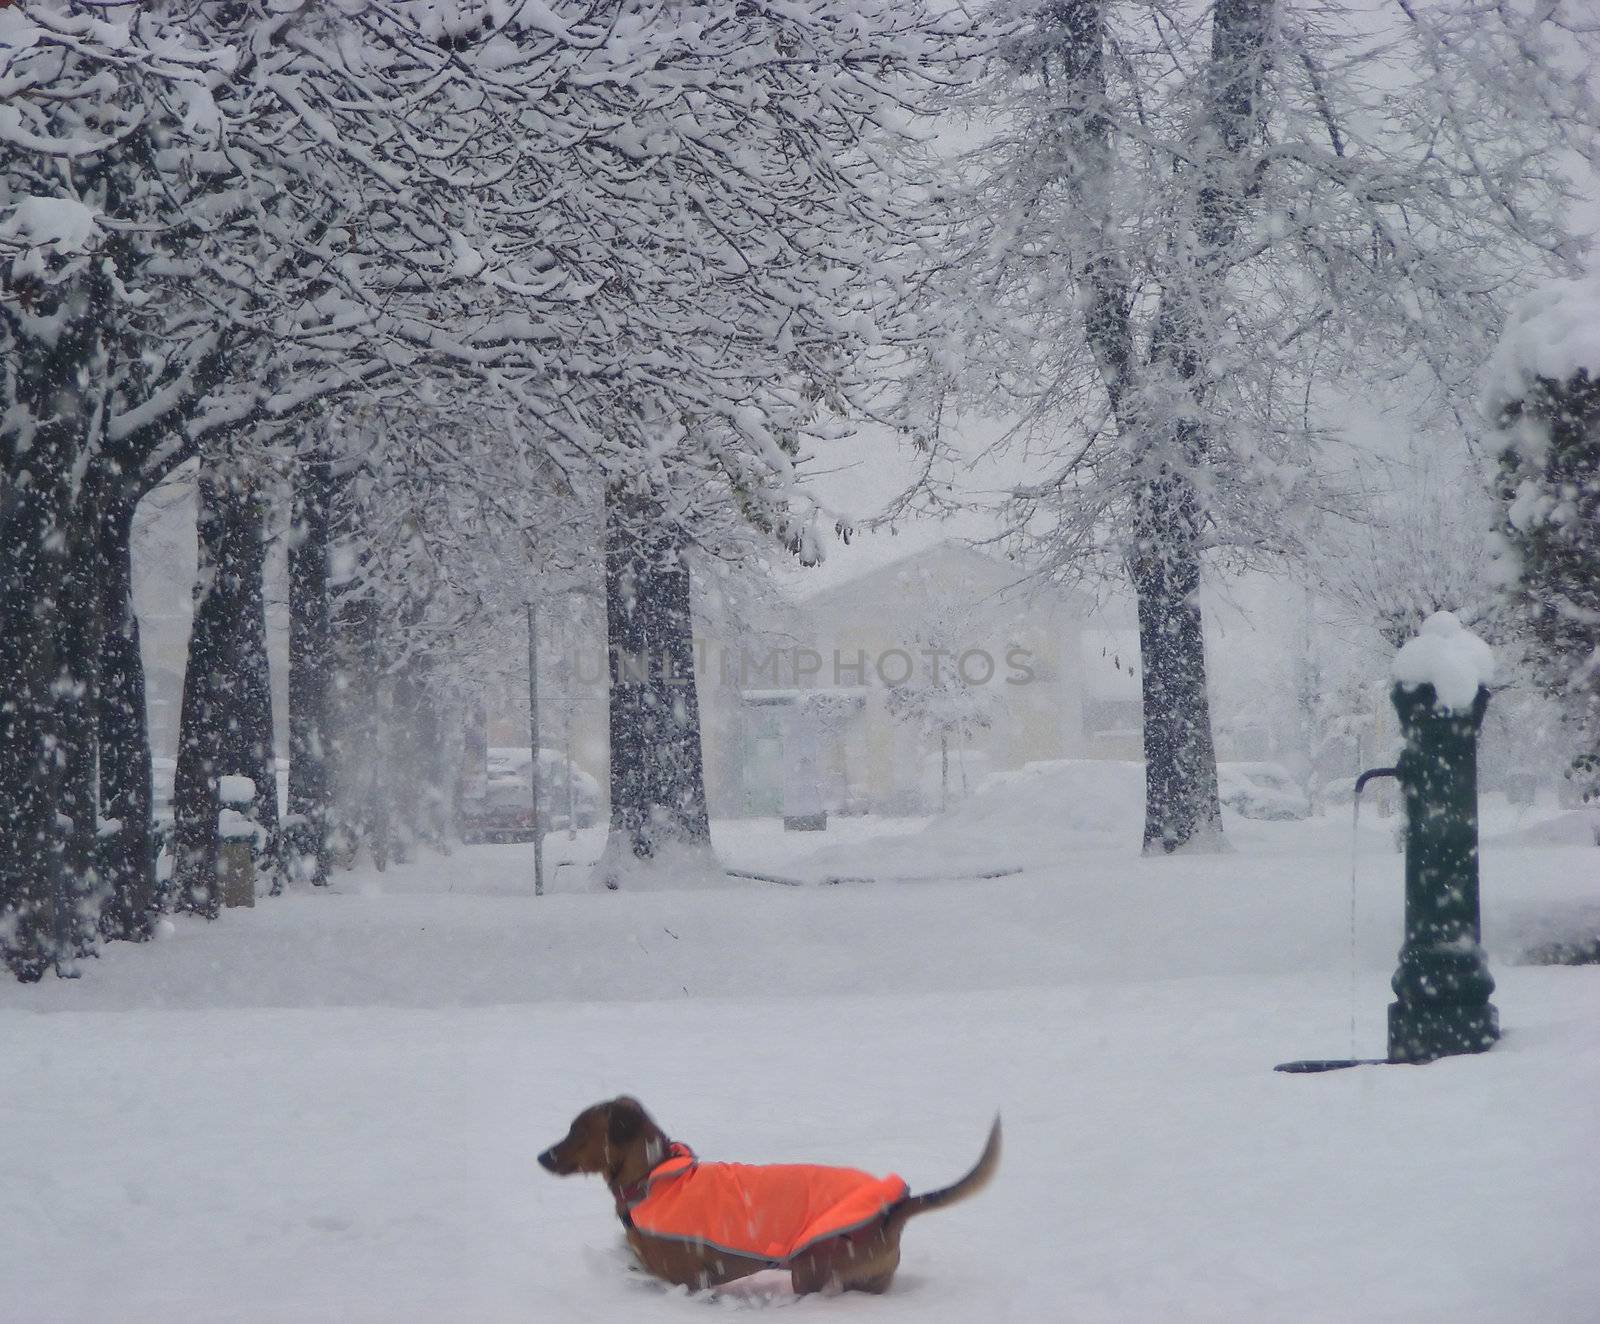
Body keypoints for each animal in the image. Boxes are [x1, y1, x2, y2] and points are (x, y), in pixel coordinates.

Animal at [540, 1093, 998, 1292]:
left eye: (577, 1130)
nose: (542, 1157)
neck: (654, 1177)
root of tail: (894, 1209)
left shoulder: (688, 1278)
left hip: (810, 1269)